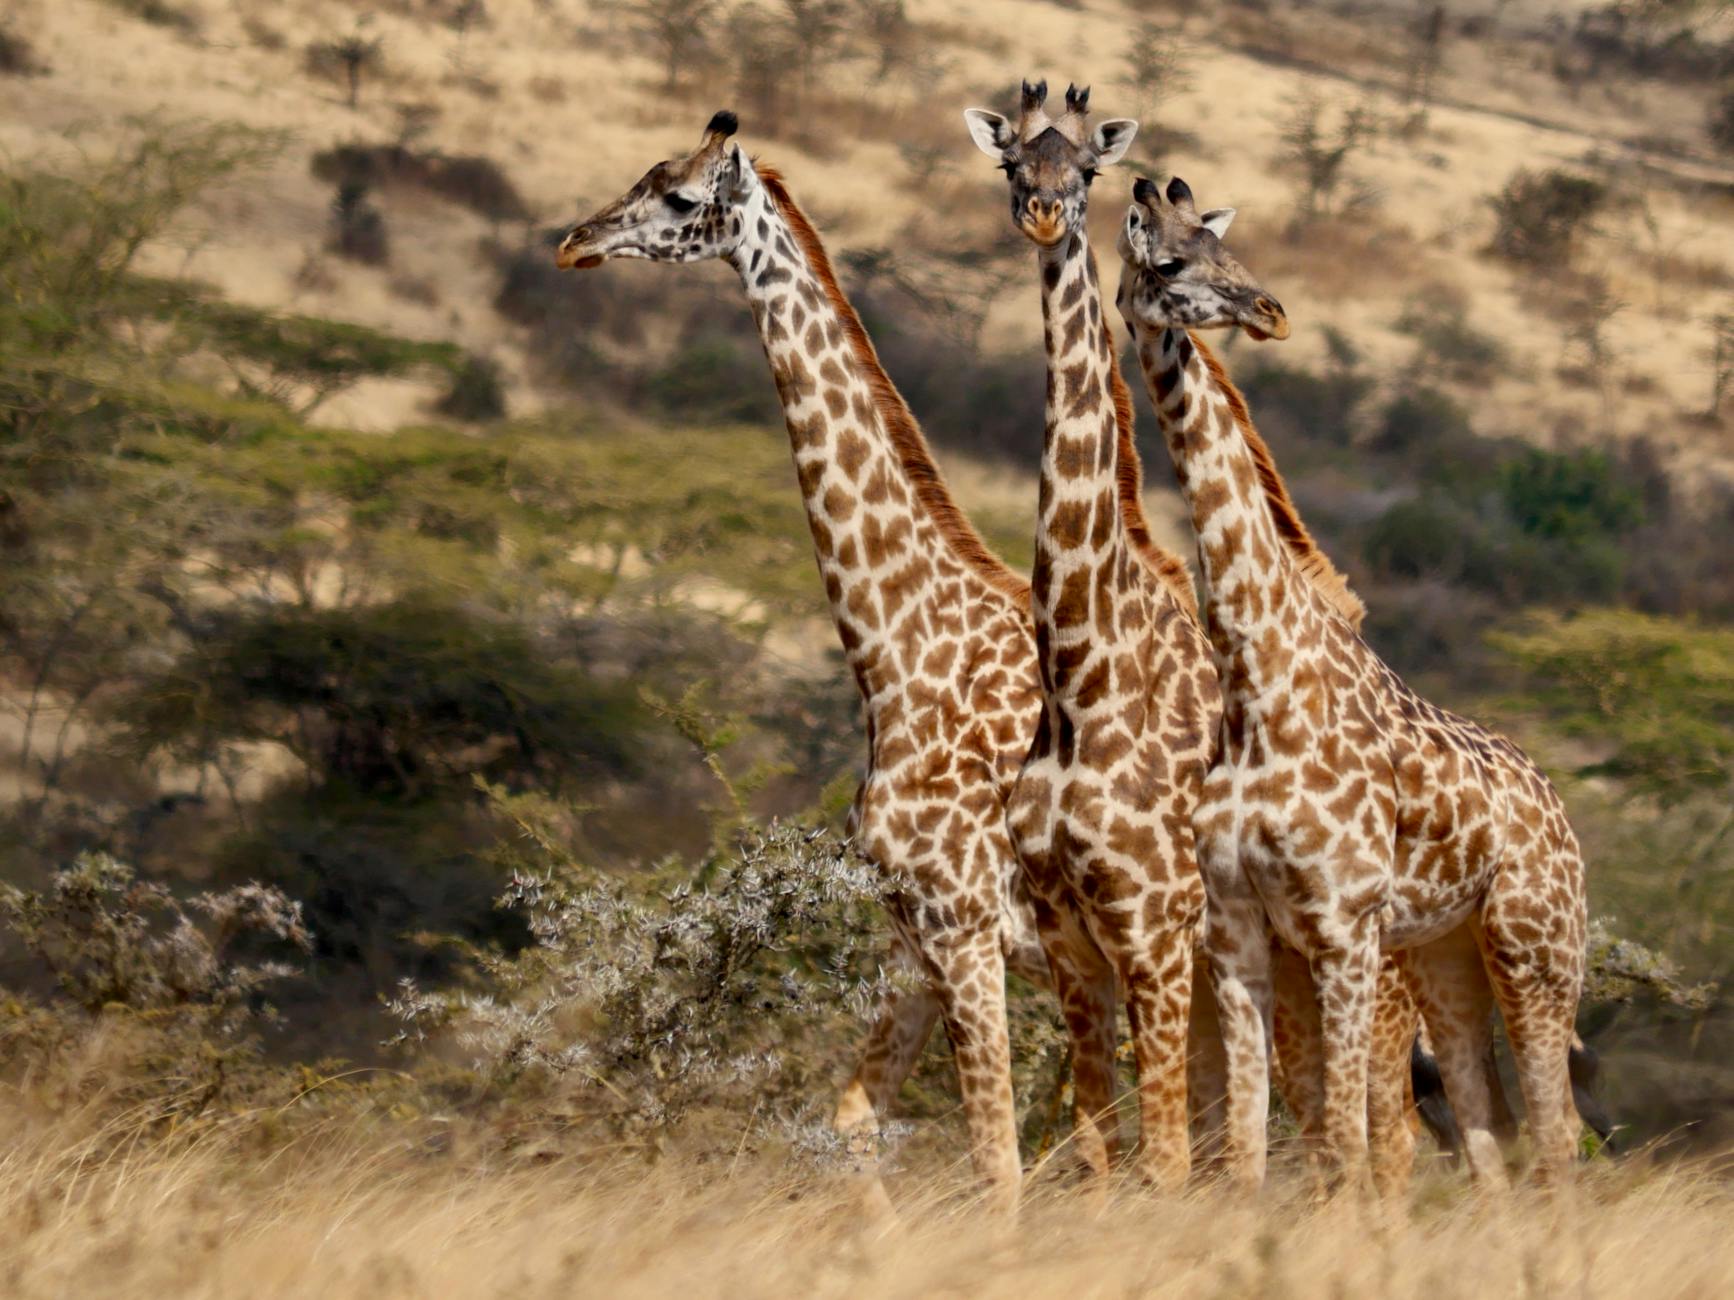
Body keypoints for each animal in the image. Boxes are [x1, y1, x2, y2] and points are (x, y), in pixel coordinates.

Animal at [554, 110, 1177, 1208]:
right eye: (642, 174)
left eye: (679, 196)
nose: (576, 242)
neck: (896, 655)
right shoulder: (912, 935)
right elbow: (851, 1125)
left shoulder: (966, 928)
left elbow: (998, 1160)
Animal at [1113, 174, 1589, 1194]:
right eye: (1167, 262)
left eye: (1227, 250)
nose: (1271, 312)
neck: (1258, 678)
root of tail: (1560, 814)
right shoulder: (1239, 929)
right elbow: (1249, 1154)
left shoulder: (1340, 924)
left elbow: (1343, 1146)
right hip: (1447, 954)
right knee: (1490, 1134)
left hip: (1536, 949)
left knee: (1558, 1136)